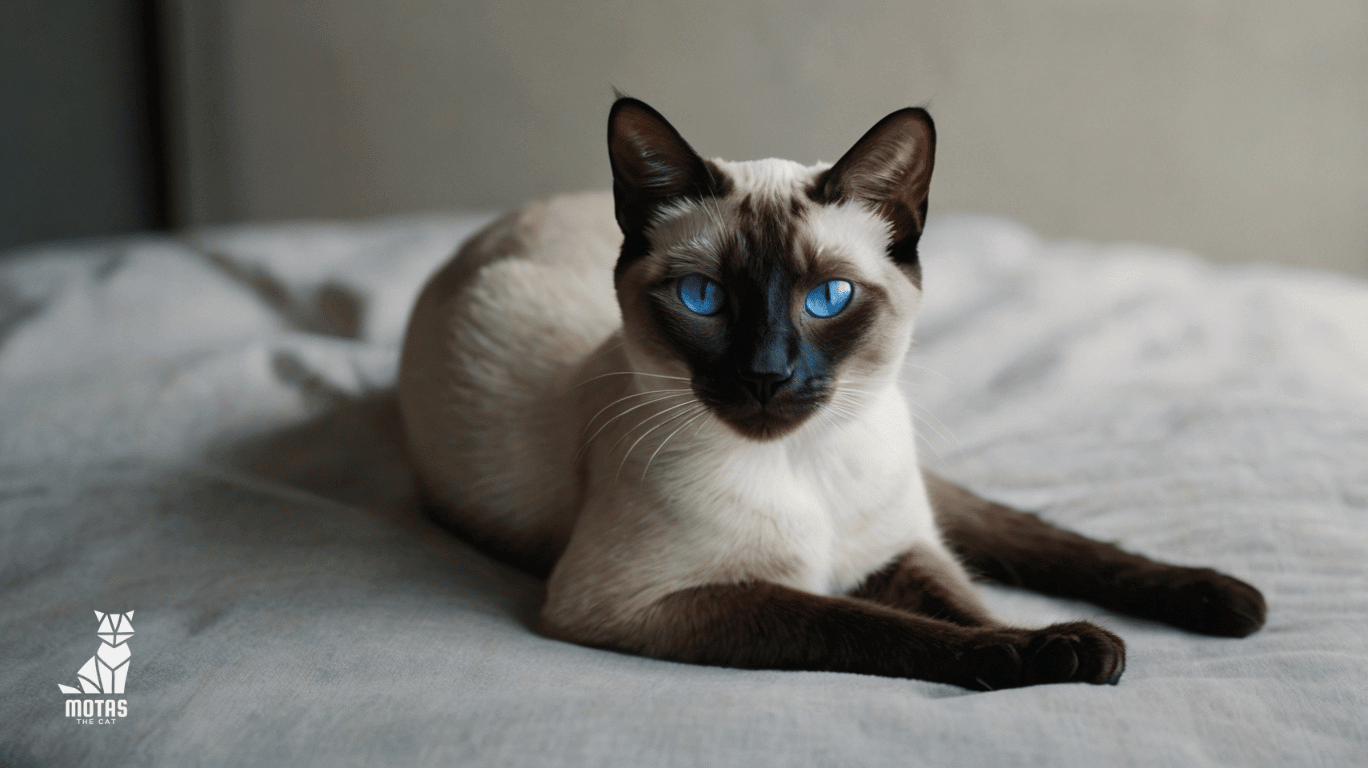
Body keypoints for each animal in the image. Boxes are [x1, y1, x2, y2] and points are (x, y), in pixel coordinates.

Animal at [399, 95, 1264, 689]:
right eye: (703, 300)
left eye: (827, 298)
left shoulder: (899, 548)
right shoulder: (643, 603)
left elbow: (965, 602)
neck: (803, 463)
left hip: (922, 499)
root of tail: (509, 219)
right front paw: (1052, 649)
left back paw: (1229, 599)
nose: (766, 375)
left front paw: (1073, 644)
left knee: (1033, 536)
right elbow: (865, 624)